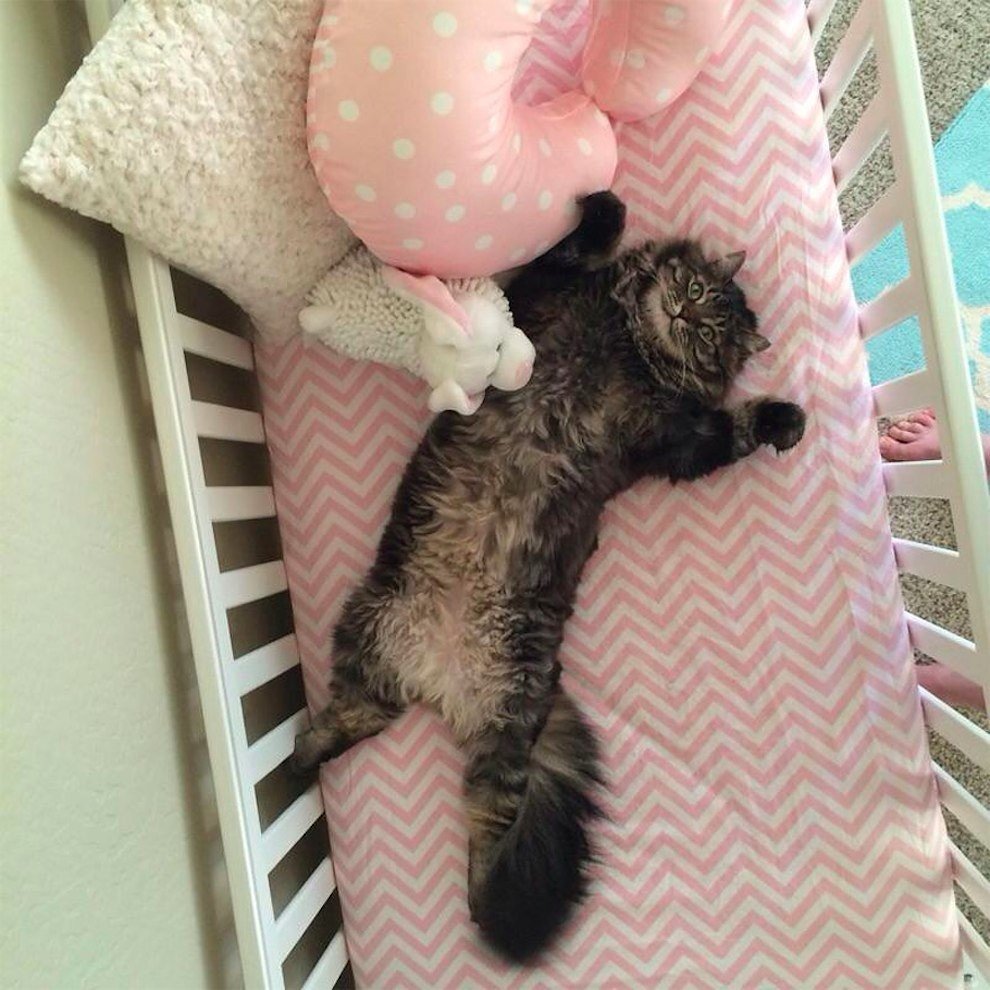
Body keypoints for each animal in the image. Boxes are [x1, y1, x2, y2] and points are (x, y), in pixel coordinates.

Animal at [291, 191, 806, 962]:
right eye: (693, 291)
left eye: (713, 334)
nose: (683, 316)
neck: (630, 342)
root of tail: (438, 678)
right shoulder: (546, 293)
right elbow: (580, 243)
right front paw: (603, 202)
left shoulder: (675, 441)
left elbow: (735, 426)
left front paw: (783, 418)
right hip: (371, 631)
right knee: (355, 723)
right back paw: (296, 763)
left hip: (500, 720)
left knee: (485, 819)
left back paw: (489, 910)